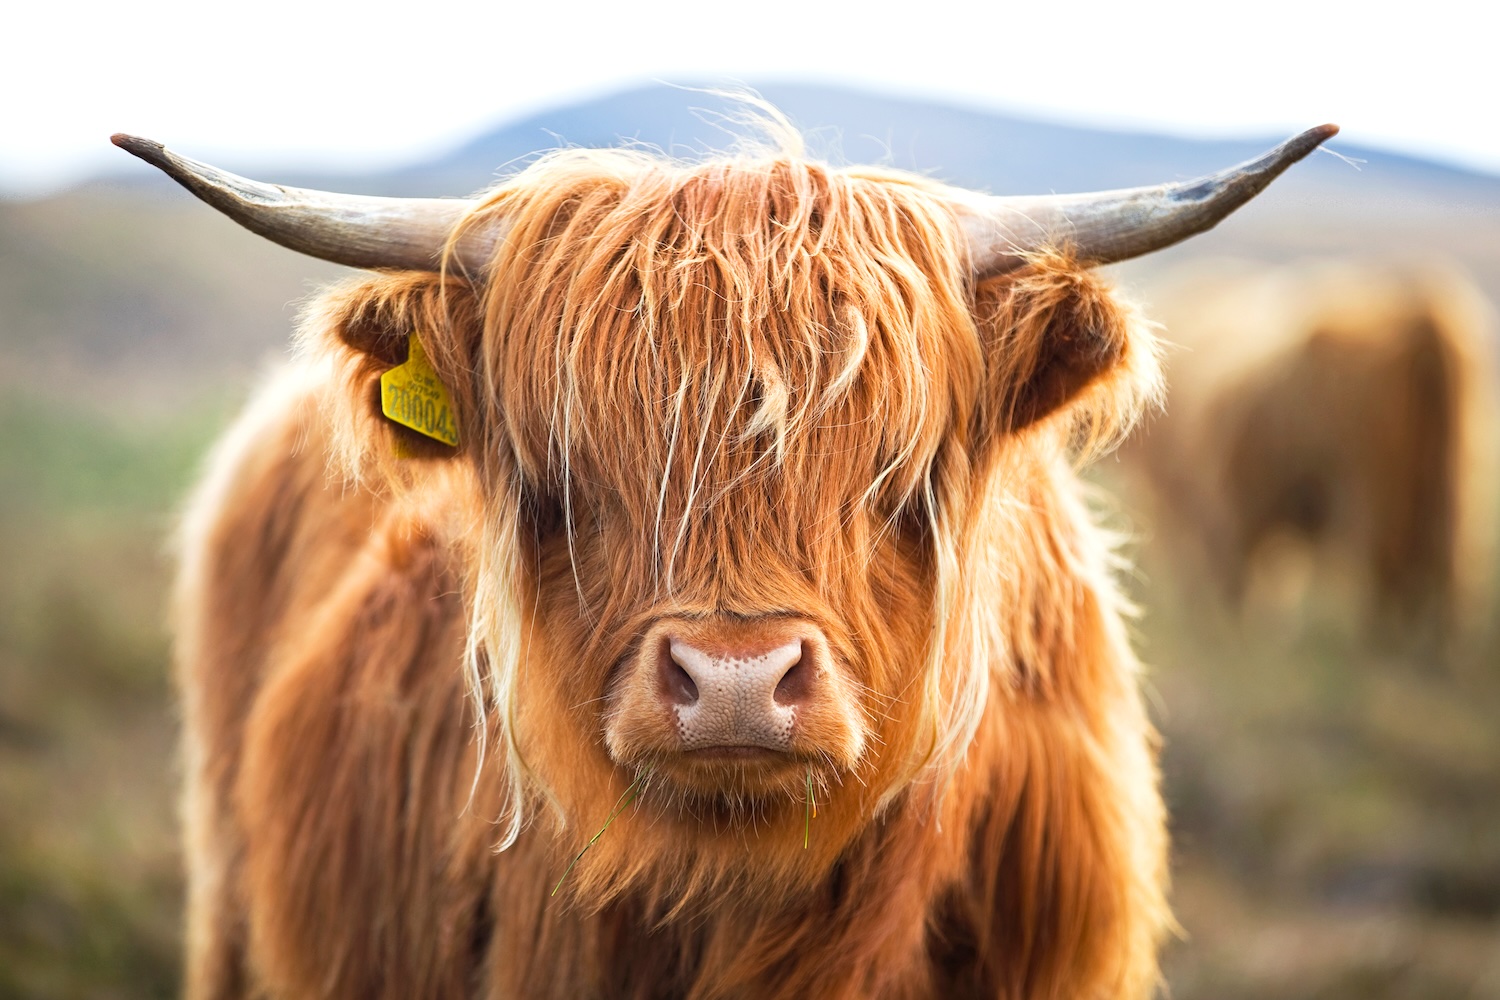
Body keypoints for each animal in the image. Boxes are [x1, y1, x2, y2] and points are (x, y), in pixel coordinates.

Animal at [1128, 259, 1497, 654]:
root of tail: (1423, 317)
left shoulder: (1227, 504)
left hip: (1373, 490)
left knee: (1386, 569)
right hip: (1450, 479)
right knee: (1447, 570)